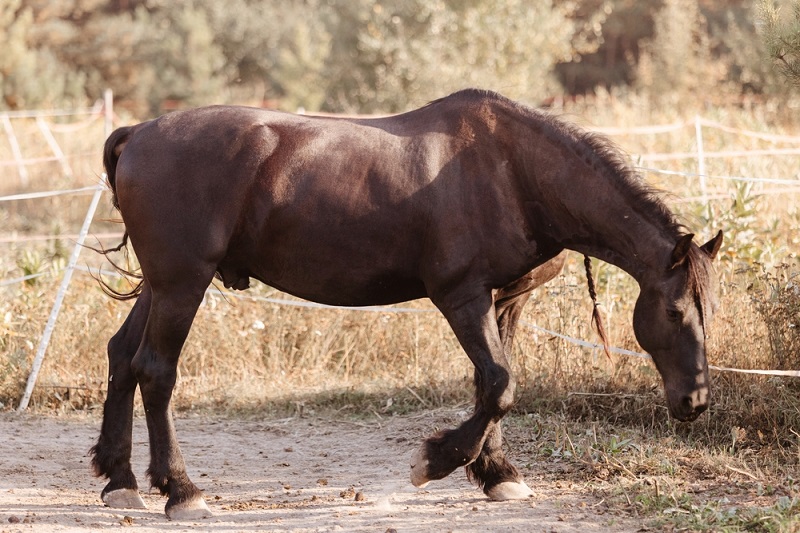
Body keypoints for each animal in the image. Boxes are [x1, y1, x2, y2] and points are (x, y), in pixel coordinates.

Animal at [89, 89, 724, 516]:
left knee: (123, 356)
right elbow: (500, 383)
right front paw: (436, 462)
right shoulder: (462, 297)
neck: (515, 172)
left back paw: (120, 480)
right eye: (674, 312)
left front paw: (497, 473)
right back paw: (181, 490)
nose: (693, 403)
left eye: (709, 313)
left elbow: (494, 386)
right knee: (156, 370)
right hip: (183, 285)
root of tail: (137, 133)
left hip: (163, 285)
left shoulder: (504, 301)